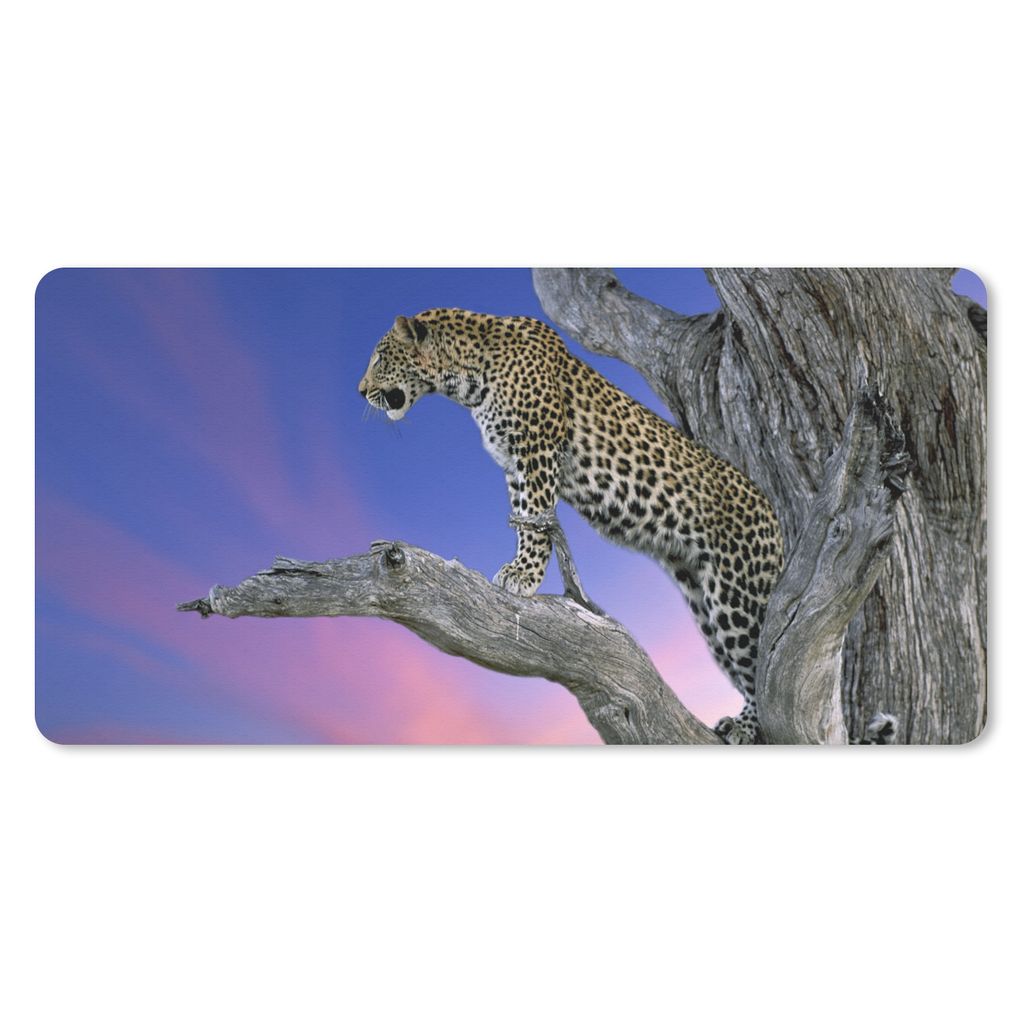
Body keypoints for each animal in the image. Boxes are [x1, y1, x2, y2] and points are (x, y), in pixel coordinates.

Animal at [358, 307, 871, 744]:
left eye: (381, 356)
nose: (361, 391)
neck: (468, 373)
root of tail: (771, 509)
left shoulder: (536, 451)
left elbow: (536, 521)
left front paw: (522, 576)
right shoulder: (515, 464)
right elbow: (525, 515)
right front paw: (522, 569)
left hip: (737, 593)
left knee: (762, 662)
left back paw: (747, 725)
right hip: (704, 601)